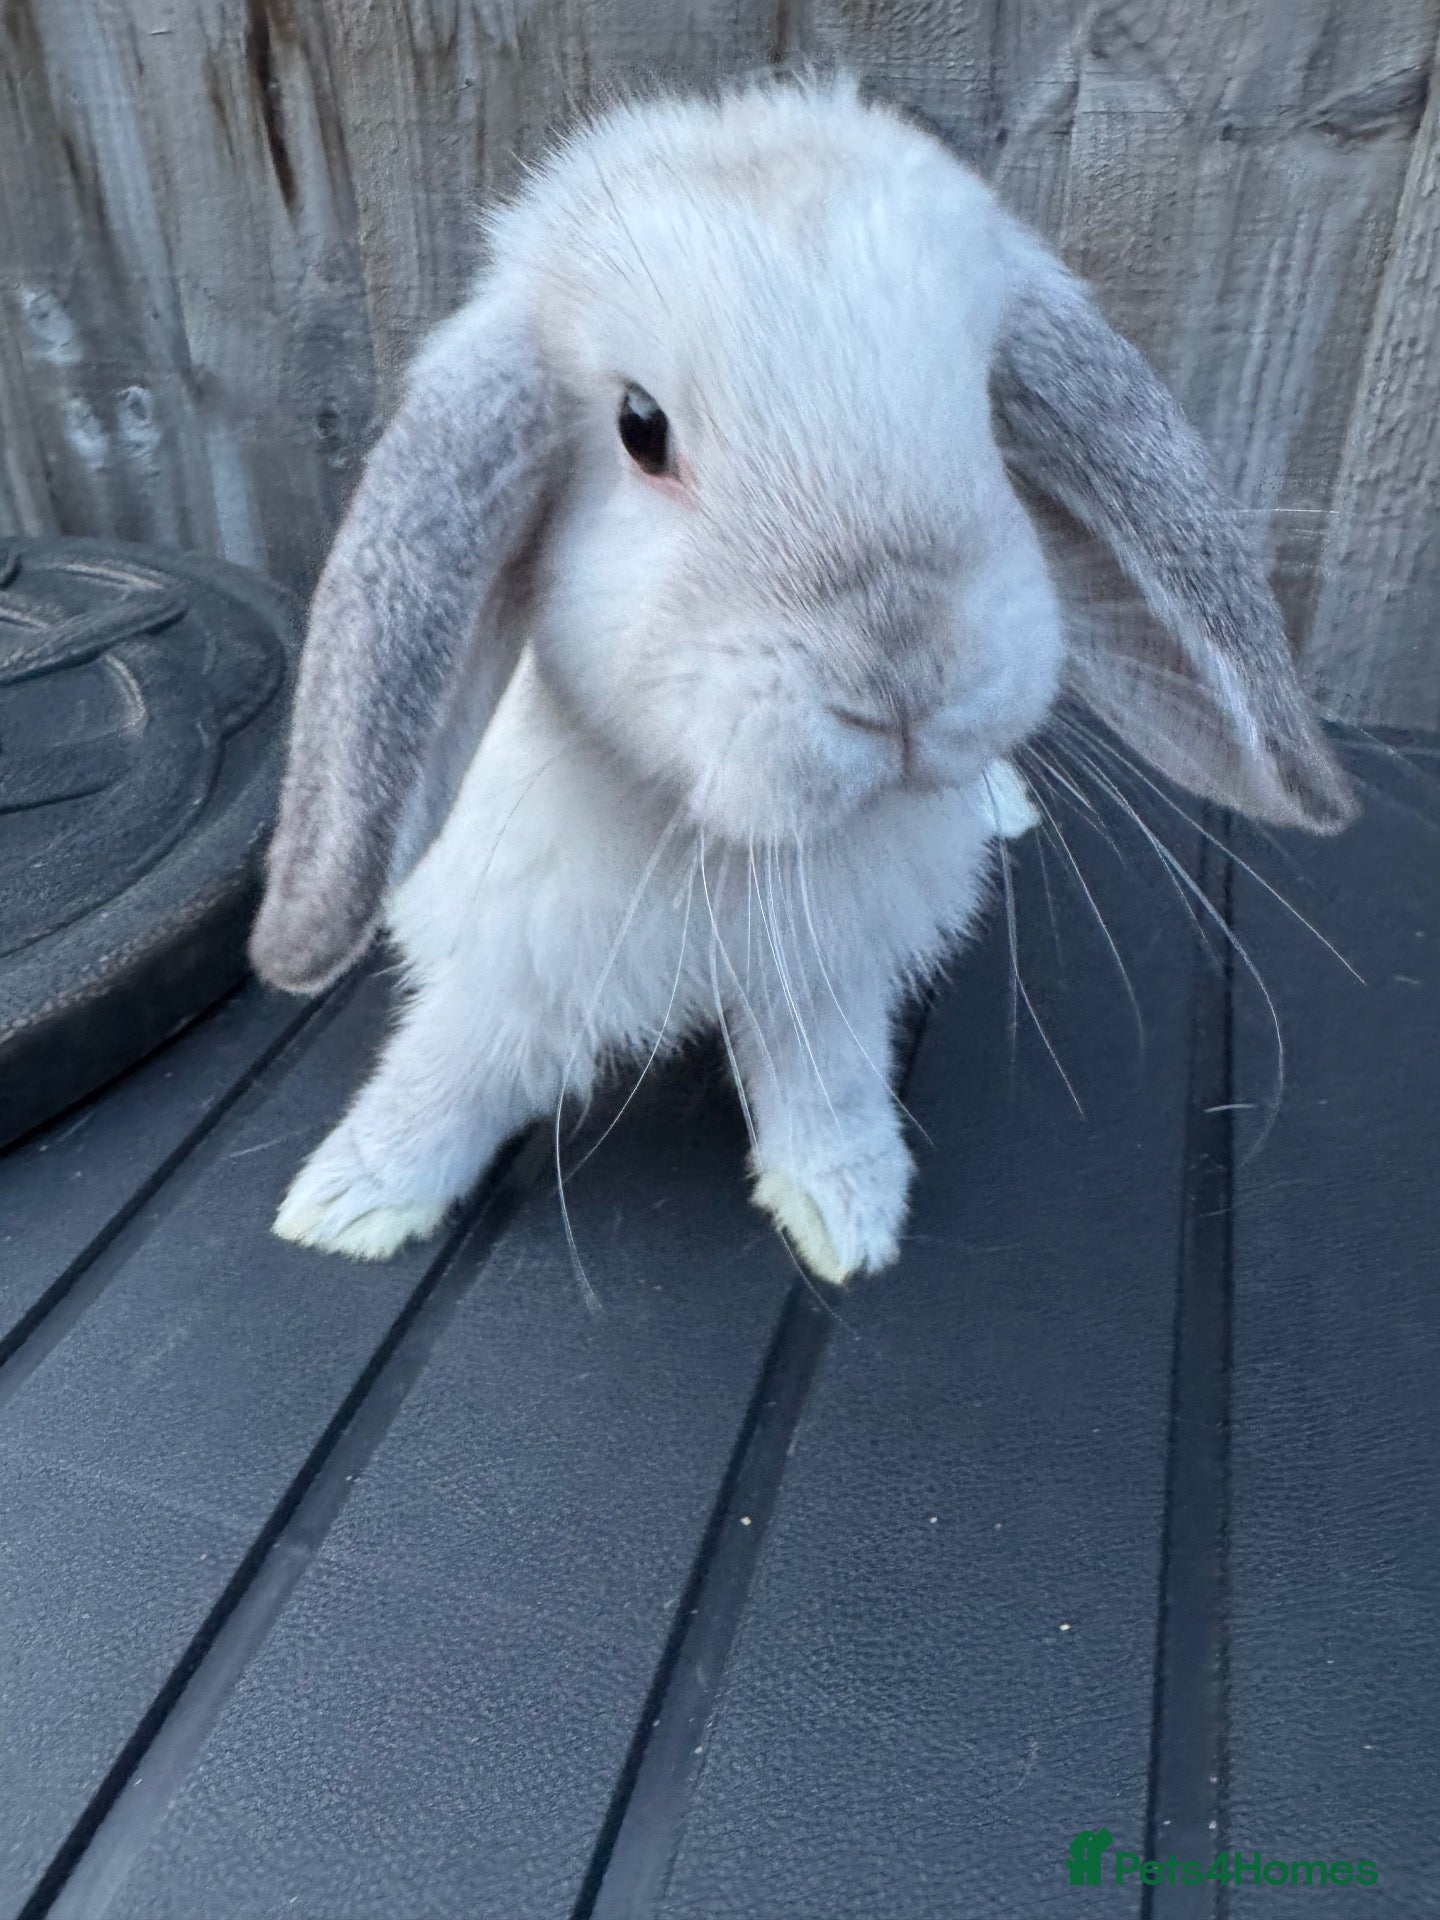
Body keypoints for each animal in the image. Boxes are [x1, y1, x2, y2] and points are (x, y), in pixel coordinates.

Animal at [248, 76, 1354, 1284]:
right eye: (640, 428)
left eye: (983, 404)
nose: (907, 676)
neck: (728, 841)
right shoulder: (518, 970)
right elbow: (450, 1068)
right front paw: (351, 1200)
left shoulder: (829, 978)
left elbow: (828, 1084)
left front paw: (847, 1211)